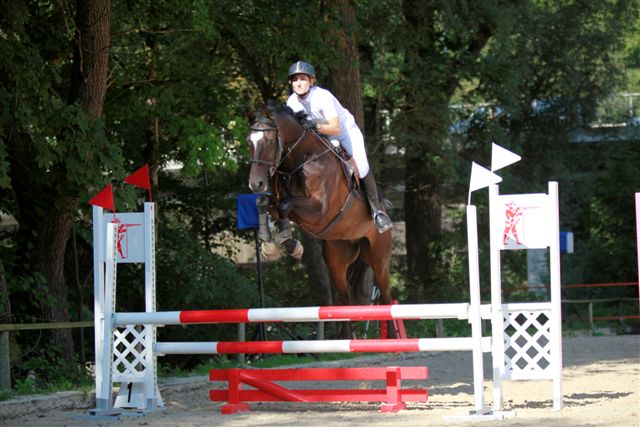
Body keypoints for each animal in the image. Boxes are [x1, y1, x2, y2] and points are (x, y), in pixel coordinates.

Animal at [246, 101, 392, 338]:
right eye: (249, 141)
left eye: (269, 141)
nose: (255, 183)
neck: (301, 159)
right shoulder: (280, 202)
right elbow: (266, 203)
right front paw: (271, 245)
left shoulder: (321, 212)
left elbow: (285, 204)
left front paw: (290, 243)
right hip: (337, 258)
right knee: (345, 298)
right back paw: (346, 339)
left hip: (379, 258)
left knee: (387, 297)